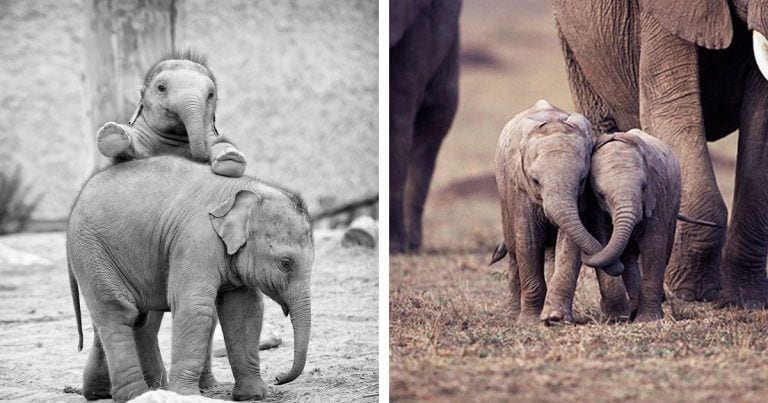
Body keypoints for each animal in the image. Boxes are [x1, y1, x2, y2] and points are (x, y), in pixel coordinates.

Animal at [67, 156, 313, 402]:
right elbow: (194, 306)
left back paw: (101, 392)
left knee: (132, 318)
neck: (246, 189)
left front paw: (253, 396)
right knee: (118, 312)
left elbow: (244, 310)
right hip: (91, 250)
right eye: (286, 264)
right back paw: (136, 395)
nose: (279, 378)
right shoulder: (196, 240)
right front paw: (184, 394)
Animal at [96, 50, 247, 178]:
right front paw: (112, 132)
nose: (203, 157)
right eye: (161, 88)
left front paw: (231, 157)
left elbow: (219, 142)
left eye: (211, 95)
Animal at [493, 100, 623, 323]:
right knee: (513, 251)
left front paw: (555, 318)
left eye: (582, 179)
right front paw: (529, 321)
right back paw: (512, 315)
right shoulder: (519, 189)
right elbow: (529, 242)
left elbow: (568, 243)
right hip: (504, 196)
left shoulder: (581, 198)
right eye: (535, 181)